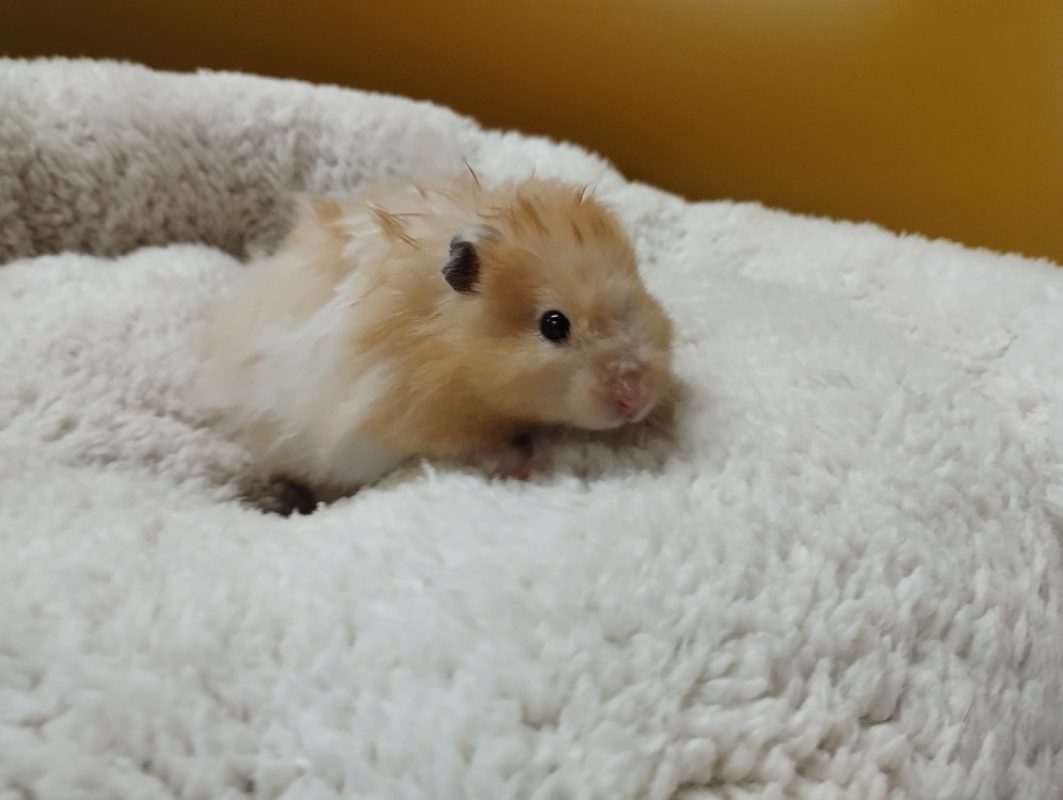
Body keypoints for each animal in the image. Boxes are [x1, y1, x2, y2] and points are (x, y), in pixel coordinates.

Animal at [195, 173, 675, 514]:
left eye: (639, 294)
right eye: (554, 324)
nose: (637, 398)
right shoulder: (417, 423)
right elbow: (484, 450)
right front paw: (532, 467)